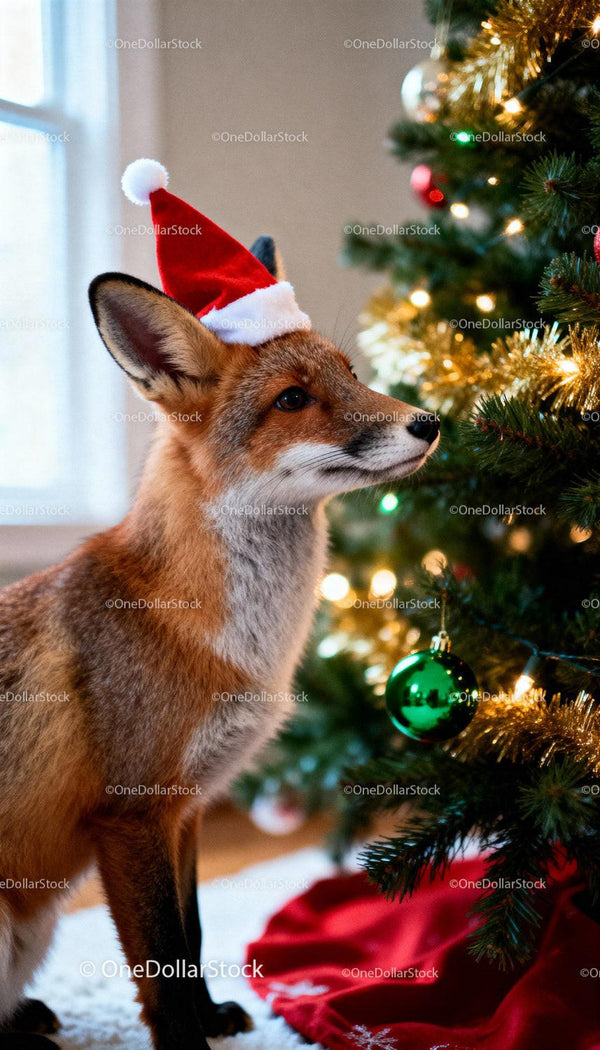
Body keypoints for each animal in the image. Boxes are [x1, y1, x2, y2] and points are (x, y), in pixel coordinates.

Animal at [0, 231, 439, 1049]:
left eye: (352, 374)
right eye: (293, 399)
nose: (428, 421)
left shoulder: (189, 808)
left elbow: (193, 937)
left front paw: (211, 1019)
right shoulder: (132, 814)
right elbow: (159, 958)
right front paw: (186, 1039)